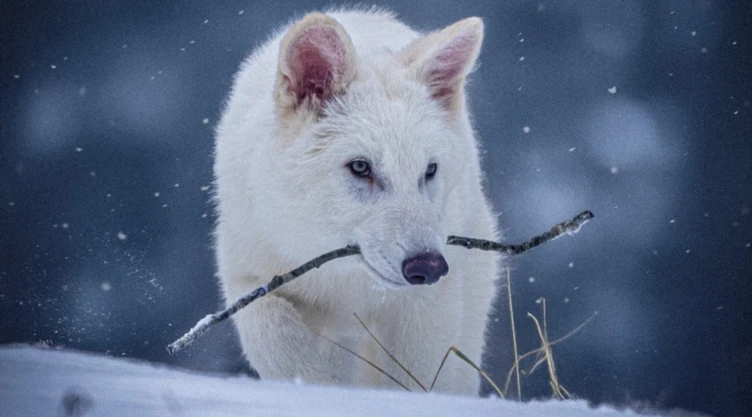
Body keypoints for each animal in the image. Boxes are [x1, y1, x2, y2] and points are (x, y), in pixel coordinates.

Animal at [213, 9, 502, 395]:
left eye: (429, 170)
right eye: (361, 167)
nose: (428, 267)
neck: (345, 279)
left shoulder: (425, 307)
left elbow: (416, 379)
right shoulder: (249, 279)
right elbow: (280, 343)